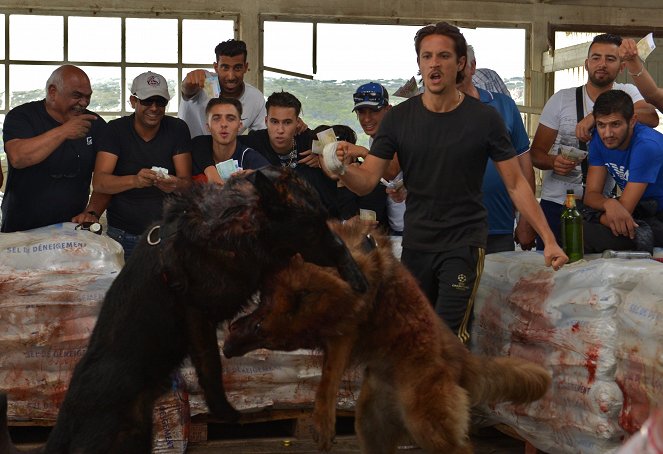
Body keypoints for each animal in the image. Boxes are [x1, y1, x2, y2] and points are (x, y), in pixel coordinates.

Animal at [226, 223, 552, 454]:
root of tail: (461, 359)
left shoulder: (343, 319)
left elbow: (327, 376)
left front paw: (322, 422)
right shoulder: (307, 322)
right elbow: (268, 326)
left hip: (427, 424)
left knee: (460, 446)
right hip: (372, 424)